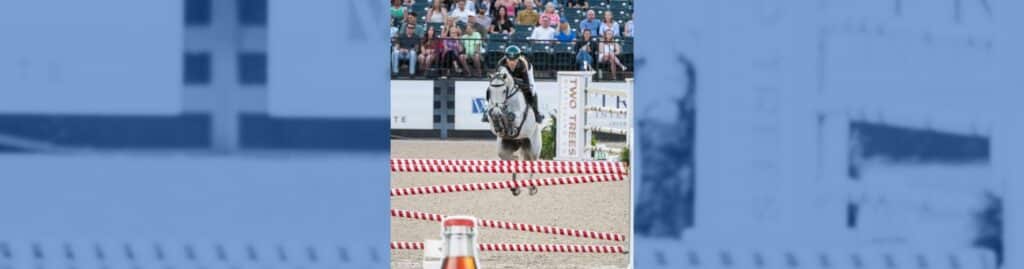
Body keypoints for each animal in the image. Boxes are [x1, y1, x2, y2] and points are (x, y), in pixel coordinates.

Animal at [487, 65, 544, 196]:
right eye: (490, 91)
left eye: (503, 91)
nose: (497, 111)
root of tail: (520, 142)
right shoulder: (491, 117)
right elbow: (494, 120)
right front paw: (499, 122)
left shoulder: (520, 117)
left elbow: (512, 117)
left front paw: (509, 123)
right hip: (503, 150)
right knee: (514, 160)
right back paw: (515, 187)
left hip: (534, 147)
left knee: (532, 162)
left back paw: (532, 188)